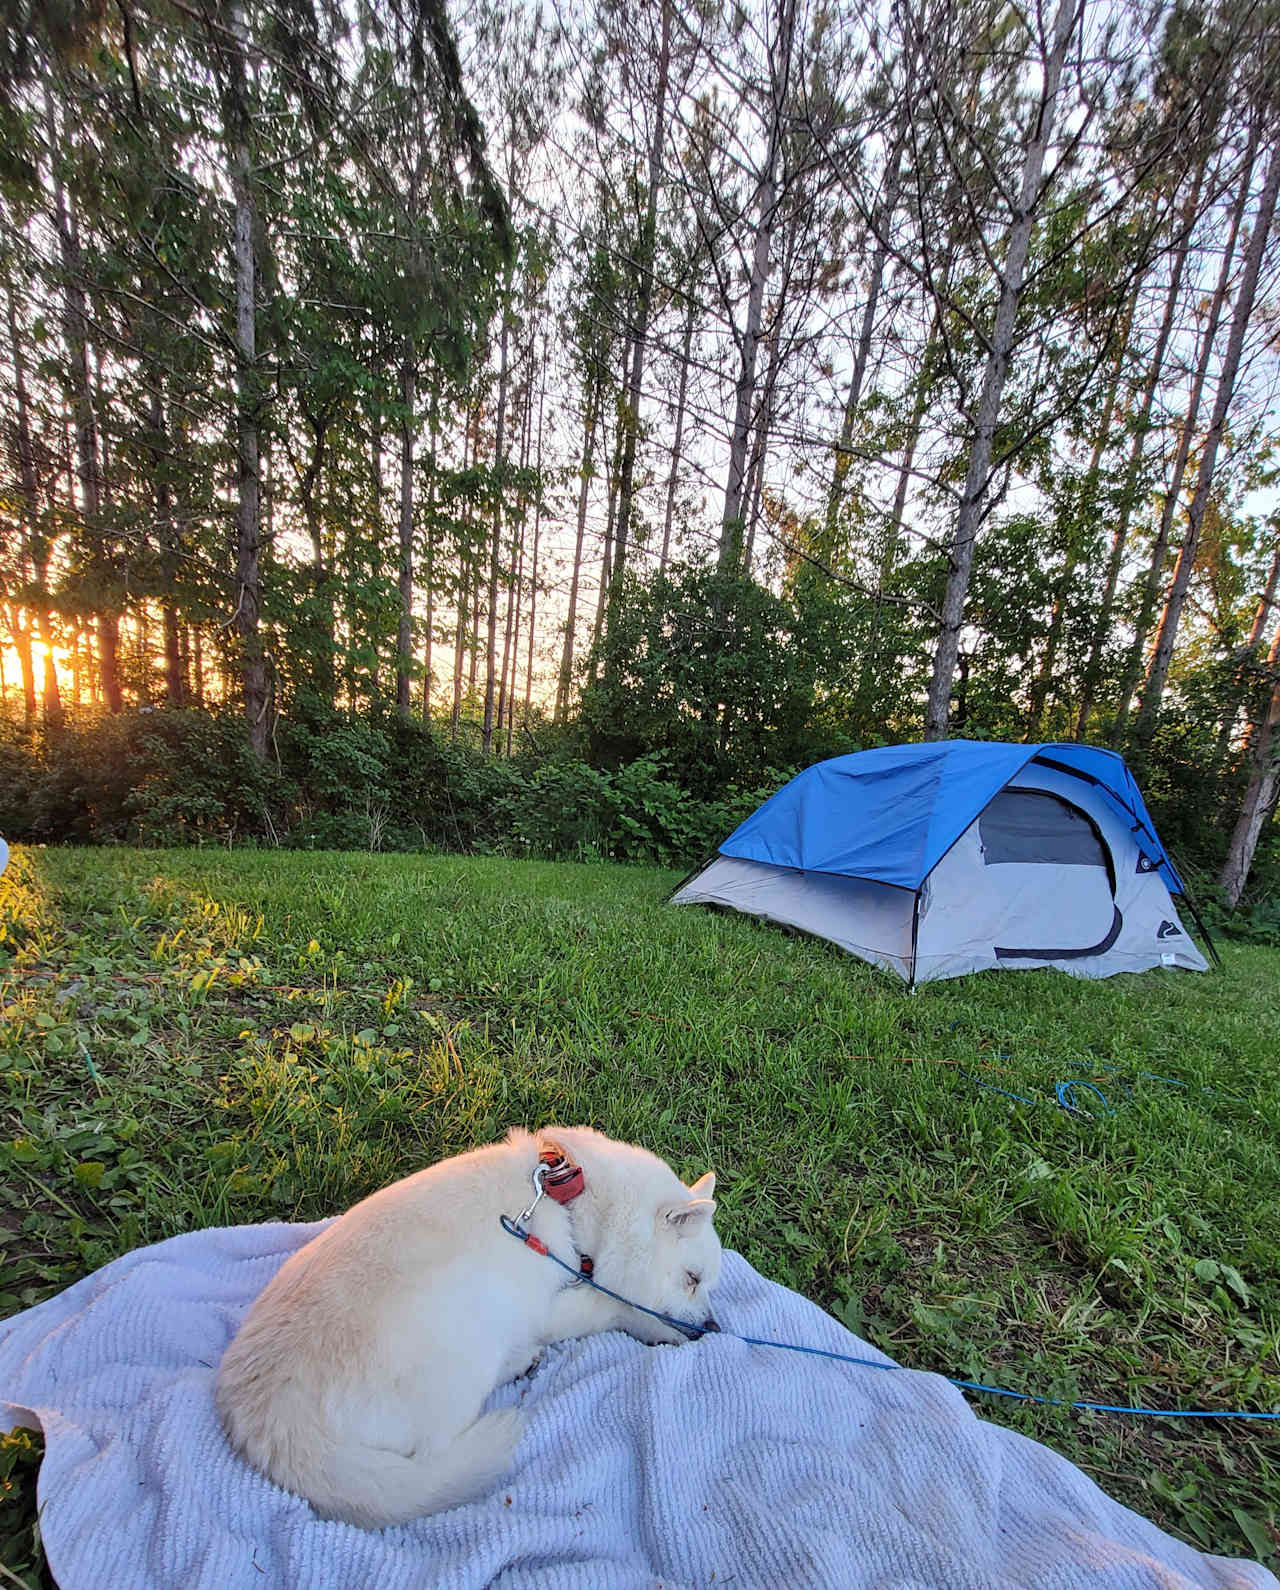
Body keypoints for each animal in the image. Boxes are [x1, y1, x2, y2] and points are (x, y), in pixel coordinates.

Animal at [214, 1132, 725, 1526]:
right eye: (692, 1278)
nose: (712, 1328)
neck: (571, 1201)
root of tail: (271, 1415)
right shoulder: (553, 1307)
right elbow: (614, 1304)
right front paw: (660, 1327)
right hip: (466, 1340)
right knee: (435, 1455)